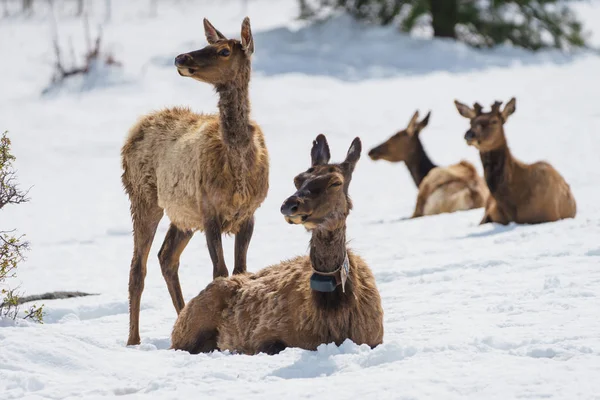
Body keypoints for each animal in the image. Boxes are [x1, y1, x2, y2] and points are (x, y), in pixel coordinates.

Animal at [120, 17, 268, 346]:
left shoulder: (249, 214)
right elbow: (219, 271)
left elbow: (240, 269)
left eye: (224, 50)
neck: (238, 167)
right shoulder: (210, 212)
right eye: (207, 43)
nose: (180, 58)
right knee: (137, 267)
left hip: (183, 215)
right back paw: (133, 339)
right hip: (143, 198)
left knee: (166, 257)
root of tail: (136, 127)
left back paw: (182, 318)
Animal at [170, 135, 384, 356]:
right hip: (188, 329)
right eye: (297, 179)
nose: (290, 205)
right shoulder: (265, 335)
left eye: (335, 182)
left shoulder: (374, 337)